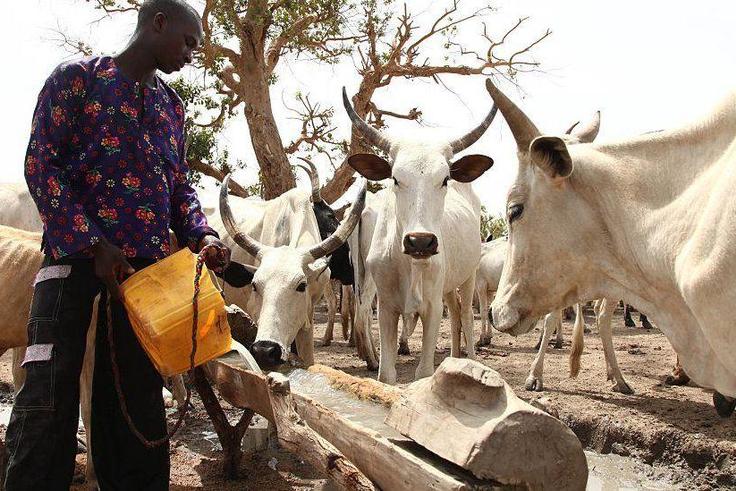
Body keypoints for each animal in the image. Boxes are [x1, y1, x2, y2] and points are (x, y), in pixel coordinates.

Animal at [343, 87, 497, 383]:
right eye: (395, 178)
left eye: (444, 179)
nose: (420, 241)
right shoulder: (386, 308)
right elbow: (386, 374)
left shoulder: (432, 308)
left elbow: (424, 372)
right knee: (456, 312)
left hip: (470, 276)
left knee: (467, 317)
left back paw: (470, 359)